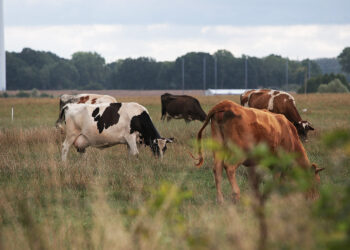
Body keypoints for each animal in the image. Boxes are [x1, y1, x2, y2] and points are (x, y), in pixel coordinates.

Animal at [193, 99, 324, 203]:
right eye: (316, 182)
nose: (315, 199)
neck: (290, 136)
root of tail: (227, 104)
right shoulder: (279, 164)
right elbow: (277, 181)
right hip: (239, 153)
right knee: (229, 167)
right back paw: (236, 195)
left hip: (218, 148)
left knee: (217, 169)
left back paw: (220, 200)